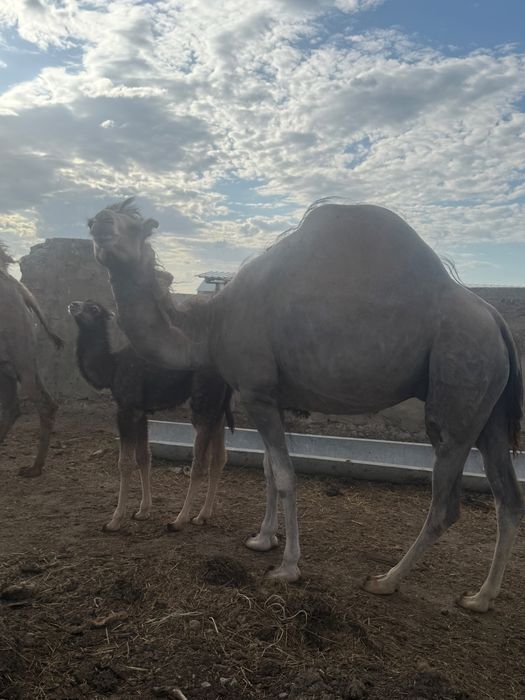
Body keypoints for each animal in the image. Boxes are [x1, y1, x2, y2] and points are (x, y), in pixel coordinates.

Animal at [0, 243, 62, 477]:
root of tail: (20, 289)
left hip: (19, 356)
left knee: (43, 403)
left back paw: (34, 468)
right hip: (11, 362)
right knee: (14, 406)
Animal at [69, 299, 232, 531]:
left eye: (94, 309)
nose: (73, 305)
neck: (111, 368)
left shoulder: (126, 409)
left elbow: (125, 463)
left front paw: (115, 520)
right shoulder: (141, 412)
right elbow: (144, 457)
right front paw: (143, 511)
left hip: (204, 403)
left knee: (199, 463)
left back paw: (178, 520)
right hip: (218, 409)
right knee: (219, 457)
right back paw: (202, 516)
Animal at [88, 198, 523, 612]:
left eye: (135, 225)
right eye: (100, 218)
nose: (98, 223)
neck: (210, 324)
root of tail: (497, 320)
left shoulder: (257, 392)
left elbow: (284, 475)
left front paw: (287, 567)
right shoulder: (271, 398)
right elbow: (267, 469)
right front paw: (262, 539)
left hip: (457, 395)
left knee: (446, 503)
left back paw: (385, 580)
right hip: (489, 414)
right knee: (508, 497)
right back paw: (480, 597)